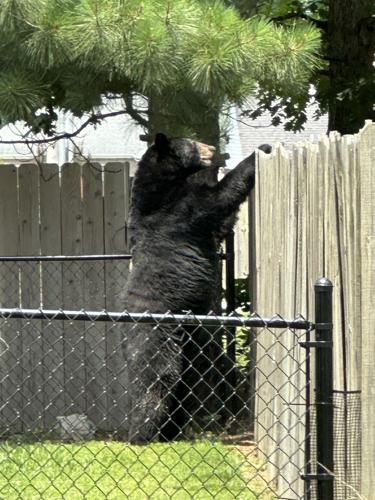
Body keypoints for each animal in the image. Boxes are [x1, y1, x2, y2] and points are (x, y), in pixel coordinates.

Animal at [125, 132, 272, 442]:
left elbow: (222, 222)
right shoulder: (179, 210)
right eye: (191, 143)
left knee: (185, 388)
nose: (213, 148)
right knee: (155, 383)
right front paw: (260, 150)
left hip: (191, 347)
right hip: (159, 337)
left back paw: (171, 433)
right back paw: (142, 436)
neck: (163, 183)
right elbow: (219, 199)